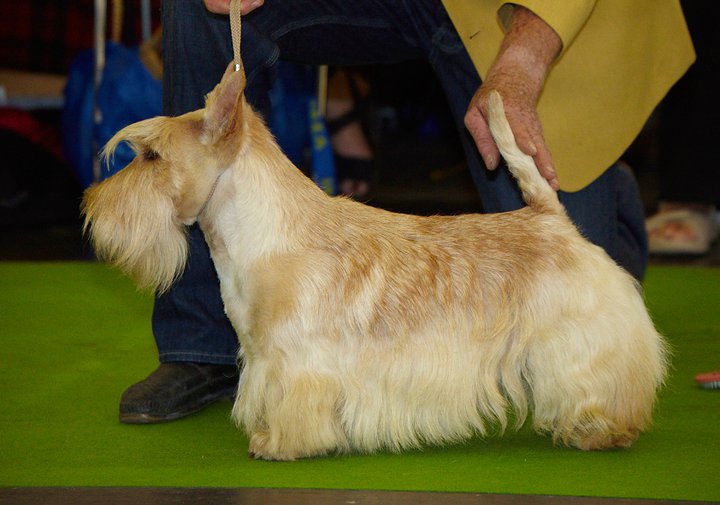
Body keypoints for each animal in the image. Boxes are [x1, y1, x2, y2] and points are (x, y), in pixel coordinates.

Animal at [82, 63, 667, 461]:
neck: (264, 236)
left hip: (580, 337)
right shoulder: (262, 354)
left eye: (152, 156)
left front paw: (278, 443)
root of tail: (549, 216)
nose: (91, 205)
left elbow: (294, 406)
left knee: (599, 381)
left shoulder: (299, 361)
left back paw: (601, 429)